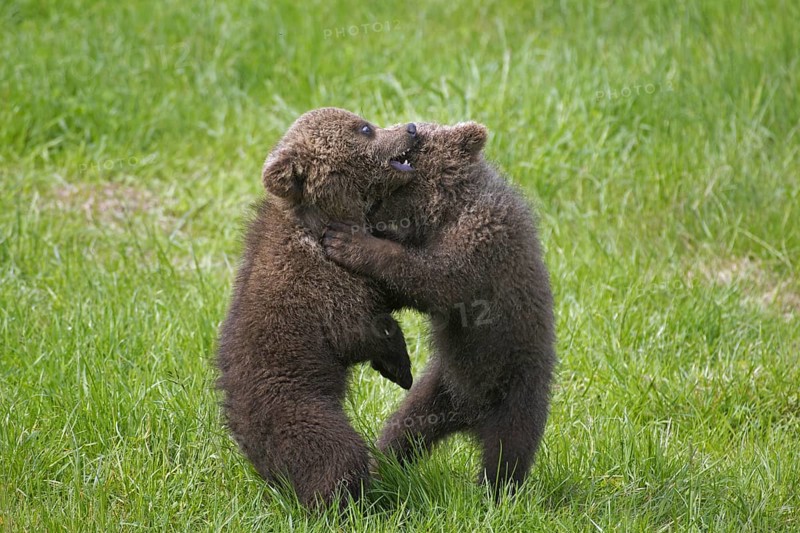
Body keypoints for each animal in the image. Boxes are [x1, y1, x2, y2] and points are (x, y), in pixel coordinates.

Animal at [216, 107, 421, 508]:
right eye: (364, 128)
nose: (411, 128)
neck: (325, 219)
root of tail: (267, 471)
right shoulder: (322, 289)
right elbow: (363, 330)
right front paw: (399, 366)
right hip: (300, 411)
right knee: (336, 455)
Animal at [322, 121, 556, 496]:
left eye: (420, 131)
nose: (410, 127)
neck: (445, 210)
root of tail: (470, 419)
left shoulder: (481, 242)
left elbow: (435, 279)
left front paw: (348, 241)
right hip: (440, 387)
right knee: (404, 430)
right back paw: (381, 468)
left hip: (516, 391)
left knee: (507, 453)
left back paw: (494, 494)